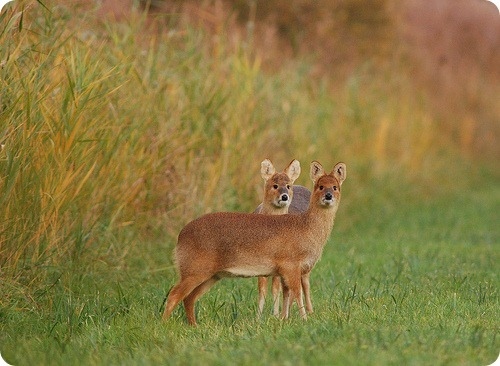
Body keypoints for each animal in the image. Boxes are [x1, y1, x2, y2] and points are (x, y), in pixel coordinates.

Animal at [162, 161, 346, 326]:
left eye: (335, 187)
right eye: (320, 186)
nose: (328, 196)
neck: (306, 227)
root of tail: (180, 236)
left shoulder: (288, 270)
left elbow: (288, 294)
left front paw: (283, 320)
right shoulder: (290, 265)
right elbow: (296, 293)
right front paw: (304, 321)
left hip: (211, 274)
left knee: (189, 298)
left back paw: (194, 325)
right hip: (195, 269)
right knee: (174, 294)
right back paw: (164, 324)